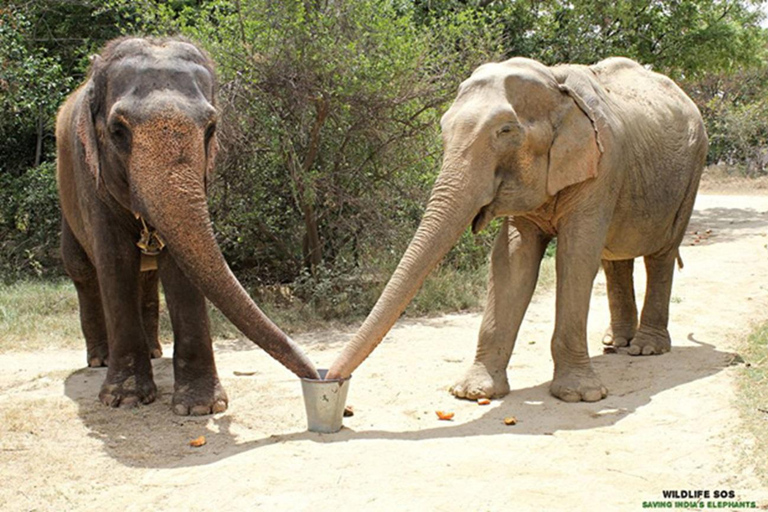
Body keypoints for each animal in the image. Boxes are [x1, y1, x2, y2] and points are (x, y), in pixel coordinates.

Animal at [55, 36, 316, 414]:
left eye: (211, 128)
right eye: (118, 131)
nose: (319, 376)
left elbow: (181, 264)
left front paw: (200, 408)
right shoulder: (91, 179)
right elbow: (115, 261)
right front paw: (125, 400)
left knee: (146, 276)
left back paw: (154, 351)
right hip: (66, 201)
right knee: (83, 272)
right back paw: (99, 360)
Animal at [326, 55, 708, 400]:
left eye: (506, 131)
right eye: (443, 128)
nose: (330, 379)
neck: (555, 82)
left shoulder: (602, 165)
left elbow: (575, 255)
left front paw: (579, 396)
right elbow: (512, 258)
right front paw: (472, 392)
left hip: (691, 171)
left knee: (660, 255)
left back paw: (645, 349)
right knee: (615, 259)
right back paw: (615, 343)